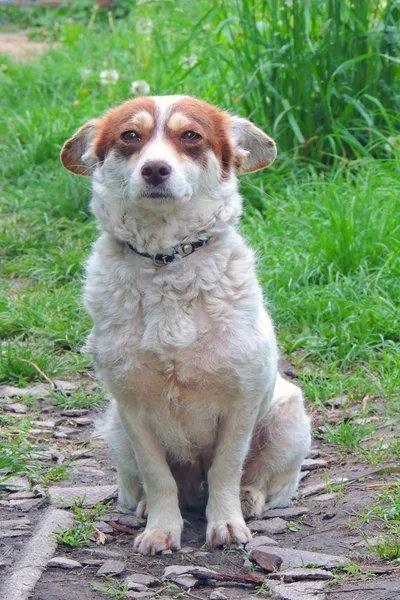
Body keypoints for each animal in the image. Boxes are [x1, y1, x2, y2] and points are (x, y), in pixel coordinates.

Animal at [61, 95, 312, 556]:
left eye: (191, 136)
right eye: (130, 135)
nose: (155, 169)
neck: (166, 262)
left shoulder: (241, 402)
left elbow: (226, 470)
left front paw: (227, 523)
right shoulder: (133, 408)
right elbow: (158, 476)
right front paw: (161, 529)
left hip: (288, 422)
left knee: (266, 482)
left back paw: (248, 500)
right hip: (114, 430)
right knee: (143, 485)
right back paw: (147, 508)